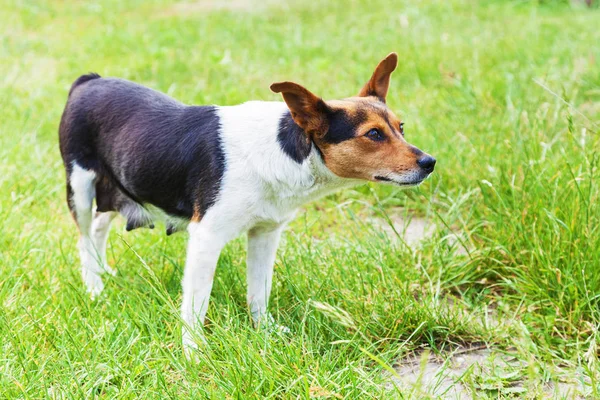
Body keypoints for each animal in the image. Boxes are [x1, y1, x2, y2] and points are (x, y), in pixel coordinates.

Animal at [58, 52, 434, 354]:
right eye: (373, 134)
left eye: (400, 127)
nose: (429, 162)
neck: (285, 149)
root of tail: (89, 81)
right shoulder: (206, 237)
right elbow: (195, 305)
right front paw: (193, 353)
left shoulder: (265, 233)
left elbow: (259, 291)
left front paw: (264, 332)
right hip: (80, 186)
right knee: (83, 237)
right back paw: (94, 287)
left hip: (119, 189)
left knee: (99, 226)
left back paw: (102, 271)